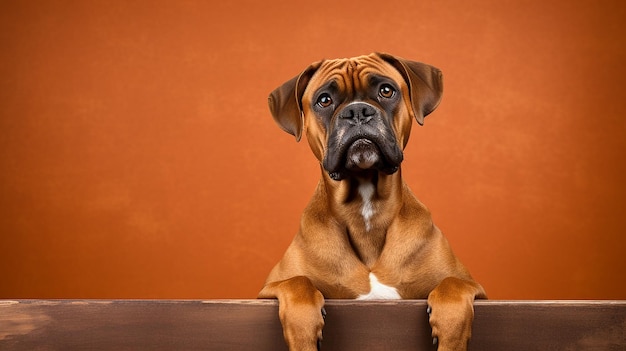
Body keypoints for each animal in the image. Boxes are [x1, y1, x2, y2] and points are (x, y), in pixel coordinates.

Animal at [256, 53, 486, 351]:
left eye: (386, 91)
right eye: (324, 100)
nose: (357, 112)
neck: (365, 205)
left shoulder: (475, 287)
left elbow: (452, 285)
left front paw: (450, 331)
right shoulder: (266, 291)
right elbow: (298, 283)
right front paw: (303, 330)